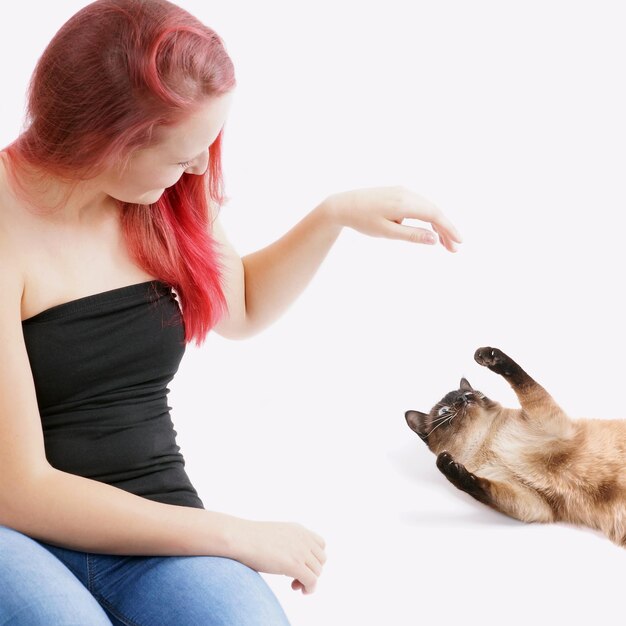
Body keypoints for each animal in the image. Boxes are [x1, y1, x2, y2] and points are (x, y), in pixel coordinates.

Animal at [402, 346, 624, 544]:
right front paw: (451, 468)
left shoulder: (548, 422)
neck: (485, 440)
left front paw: (488, 355)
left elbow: (521, 379)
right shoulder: (534, 502)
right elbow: (479, 487)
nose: (465, 397)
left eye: (475, 393)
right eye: (445, 411)